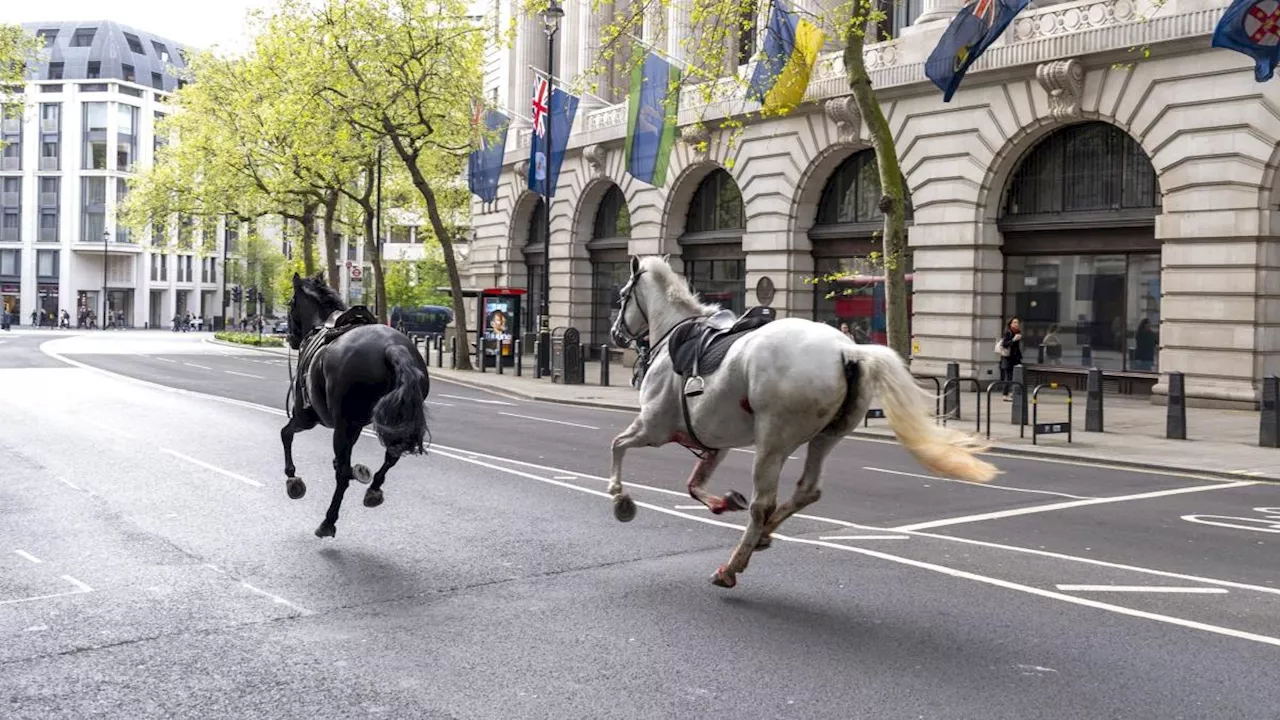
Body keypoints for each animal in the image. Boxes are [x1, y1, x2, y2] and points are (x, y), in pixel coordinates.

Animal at [280, 271, 430, 535]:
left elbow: (285, 434)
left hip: (340, 425)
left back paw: (328, 521)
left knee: (342, 475)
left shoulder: (305, 417)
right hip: (392, 419)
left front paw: (292, 478)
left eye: (290, 304)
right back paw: (373, 489)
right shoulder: (357, 424)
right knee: (392, 454)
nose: (291, 338)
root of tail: (393, 348)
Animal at [609, 257, 998, 589]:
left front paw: (620, 498)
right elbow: (693, 484)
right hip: (826, 436)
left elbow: (617, 445)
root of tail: (849, 350)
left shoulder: (653, 426)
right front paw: (723, 502)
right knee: (807, 490)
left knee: (763, 504)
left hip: (772, 440)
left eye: (622, 295)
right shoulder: (714, 441)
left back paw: (732, 566)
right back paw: (763, 535)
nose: (614, 335)